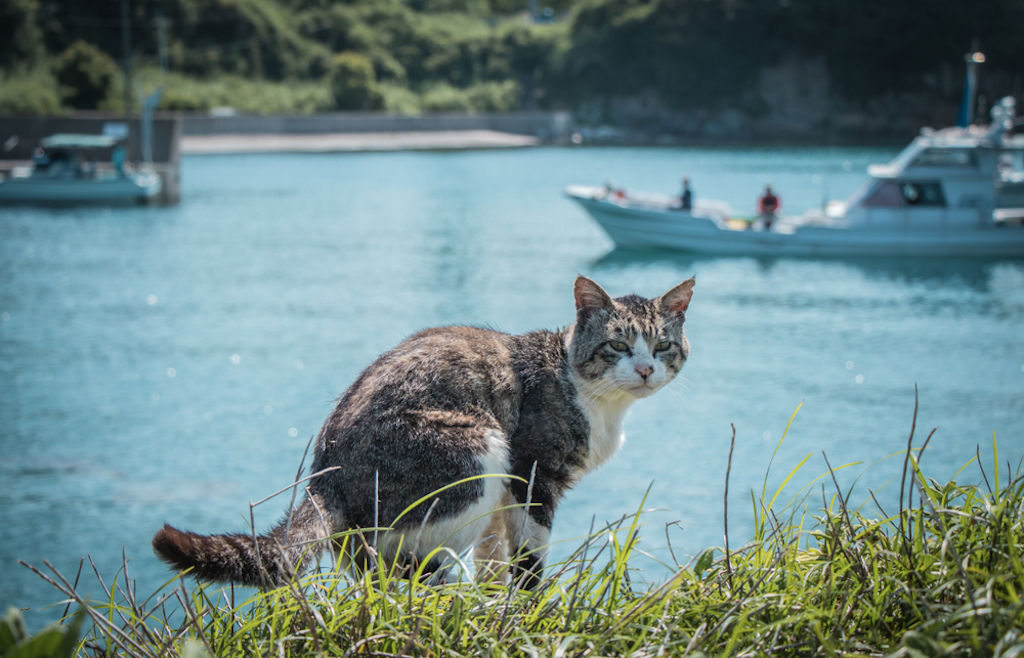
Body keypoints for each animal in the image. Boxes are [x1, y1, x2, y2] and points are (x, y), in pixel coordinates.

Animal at [153, 276, 696, 589]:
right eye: (618, 346)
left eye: (663, 346)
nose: (645, 369)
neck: (595, 398)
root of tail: (324, 473)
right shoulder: (531, 473)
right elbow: (528, 560)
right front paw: (532, 612)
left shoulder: (507, 499)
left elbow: (494, 559)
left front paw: (493, 609)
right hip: (477, 448)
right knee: (405, 565)